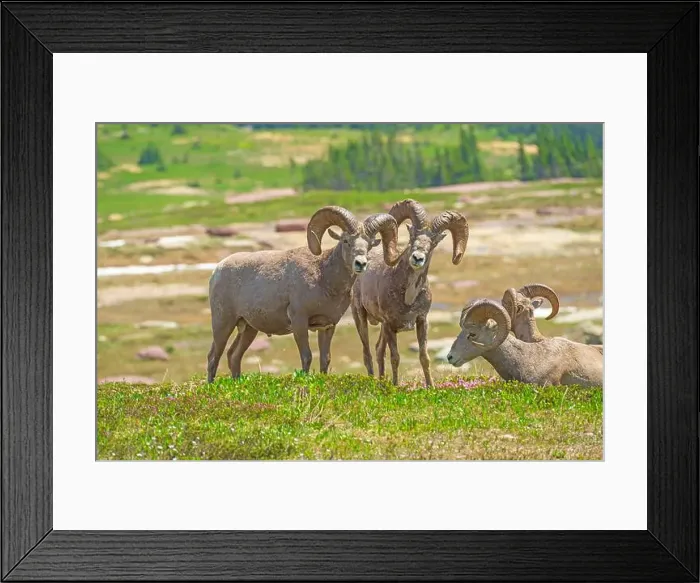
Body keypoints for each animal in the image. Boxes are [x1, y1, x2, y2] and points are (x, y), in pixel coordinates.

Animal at [206, 206, 399, 382]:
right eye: (346, 241)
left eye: (370, 244)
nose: (361, 263)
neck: (324, 278)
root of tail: (218, 270)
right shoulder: (299, 321)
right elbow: (306, 357)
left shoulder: (328, 326)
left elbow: (325, 359)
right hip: (223, 323)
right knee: (213, 357)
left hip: (248, 328)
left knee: (233, 356)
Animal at [351, 199, 469, 387]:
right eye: (412, 236)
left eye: (434, 243)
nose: (417, 258)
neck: (408, 297)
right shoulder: (390, 325)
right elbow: (395, 358)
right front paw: (395, 386)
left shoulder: (421, 321)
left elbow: (424, 357)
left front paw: (430, 387)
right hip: (360, 317)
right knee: (367, 353)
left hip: (381, 327)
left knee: (378, 350)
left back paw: (382, 382)